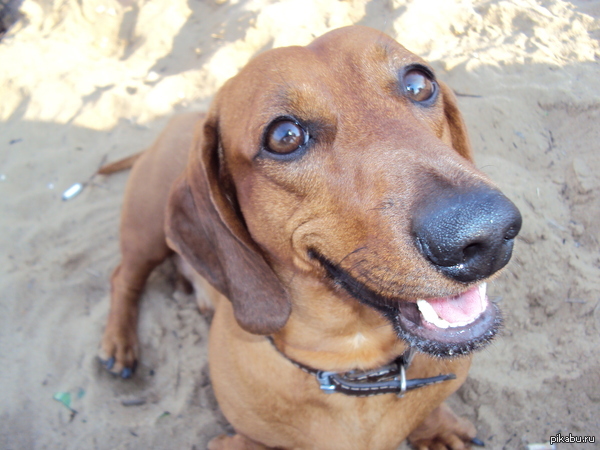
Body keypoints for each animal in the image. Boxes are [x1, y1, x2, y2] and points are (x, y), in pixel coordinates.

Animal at [98, 26, 520, 448]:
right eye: (284, 136)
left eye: (419, 83)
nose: (488, 235)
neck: (356, 362)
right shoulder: (236, 440)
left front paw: (437, 429)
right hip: (147, 230)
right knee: (123, 277)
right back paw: (118, 344)